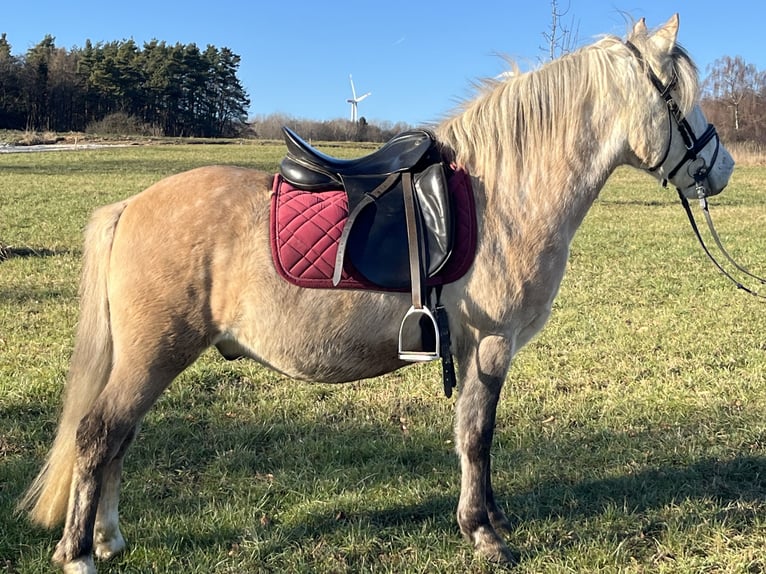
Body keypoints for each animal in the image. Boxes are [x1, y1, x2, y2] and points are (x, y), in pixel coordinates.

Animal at [19, 15, 734, 572]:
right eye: (678, 95)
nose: (720, 166)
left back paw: (108, 540)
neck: (504, 197)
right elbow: (477, 435)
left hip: (146, 358)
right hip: (153, 354)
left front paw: (488, 521)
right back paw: (79, 554)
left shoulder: (472, 348)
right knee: (99, 435)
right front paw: (485, 533)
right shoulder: (491, 343)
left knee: (118, 438)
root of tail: (130, 206)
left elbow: (470, 433)